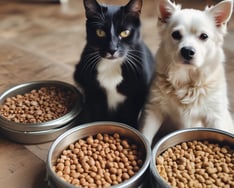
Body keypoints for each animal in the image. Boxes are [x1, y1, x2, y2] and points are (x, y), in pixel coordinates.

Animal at [74, 0, 154, 128]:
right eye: (100, 32)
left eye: (125, 33)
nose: (112, 49)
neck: (111, 66)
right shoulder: (93, 94)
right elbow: (97, 117)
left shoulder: (136, 97)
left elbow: (130, 118)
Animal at [139, 0, 234, 145]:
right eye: (176, 35)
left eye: (204, 36)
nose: (187, 51)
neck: (187, 82)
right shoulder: (153, 110)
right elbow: (145, 134)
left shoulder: (215, 116)